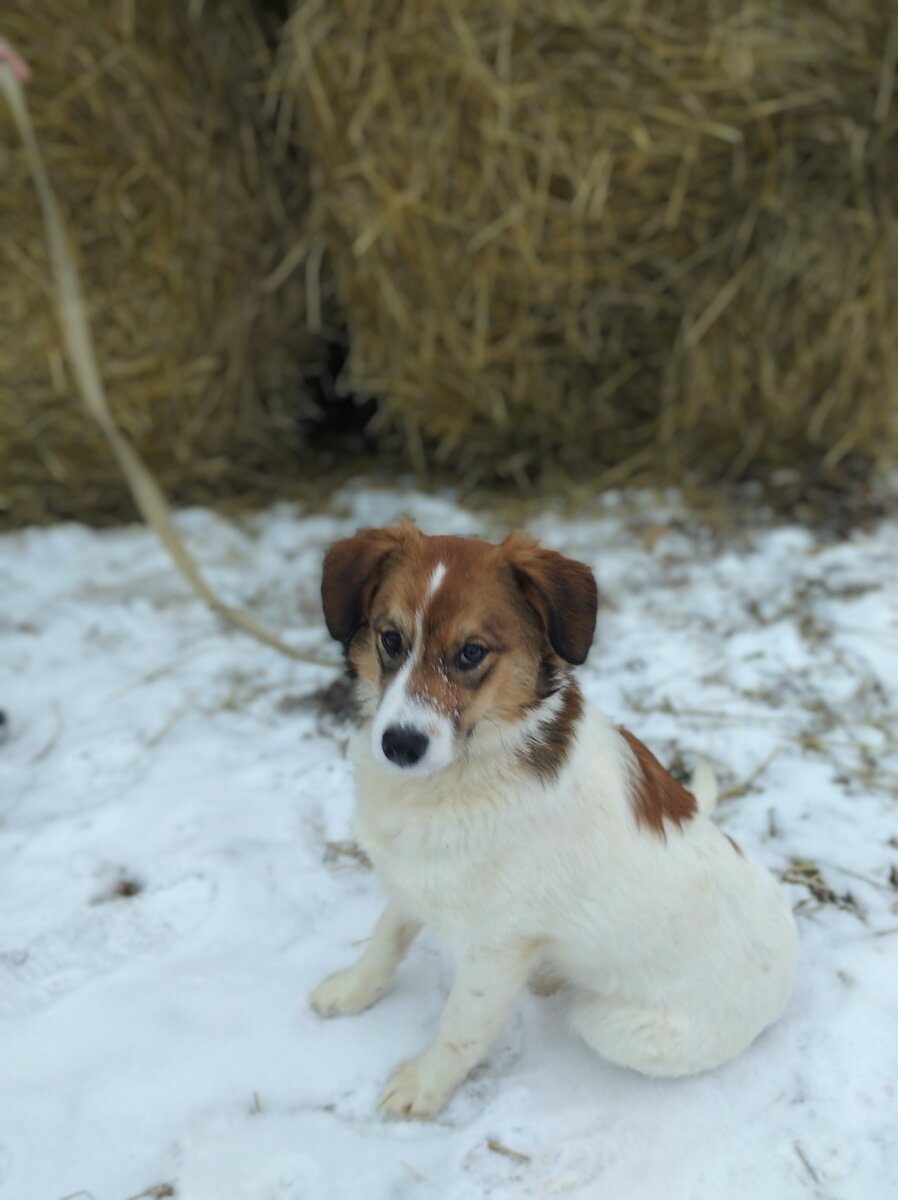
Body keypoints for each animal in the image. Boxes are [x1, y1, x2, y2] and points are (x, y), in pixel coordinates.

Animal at [312, 530, 797, 1118]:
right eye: (390, 638)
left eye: (471, 652)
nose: (400, 745)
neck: (468, 769)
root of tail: (791, 959)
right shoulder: (415, 878)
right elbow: (386, 938)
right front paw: (353, 988)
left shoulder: (494, 949)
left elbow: (461, 1025)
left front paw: (424, 1085)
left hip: (611, 1025)